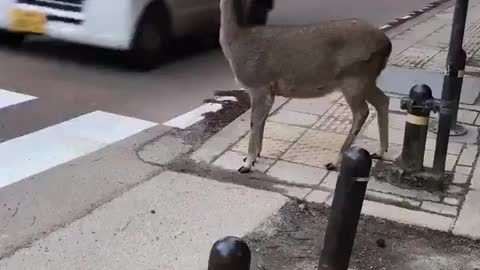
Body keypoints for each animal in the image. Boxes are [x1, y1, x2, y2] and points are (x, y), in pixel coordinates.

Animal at [219, 0, 392, 173]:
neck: (236, 43)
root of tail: (387, 45)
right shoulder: (268, 91)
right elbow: (262, 121)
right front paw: (256, 156)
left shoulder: (258, 85)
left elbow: (254, 123)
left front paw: (247, 164)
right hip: (367, 79)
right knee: (383, 100)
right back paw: (380, 151)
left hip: (354, 77)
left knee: (361, 112)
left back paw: (335, 162)